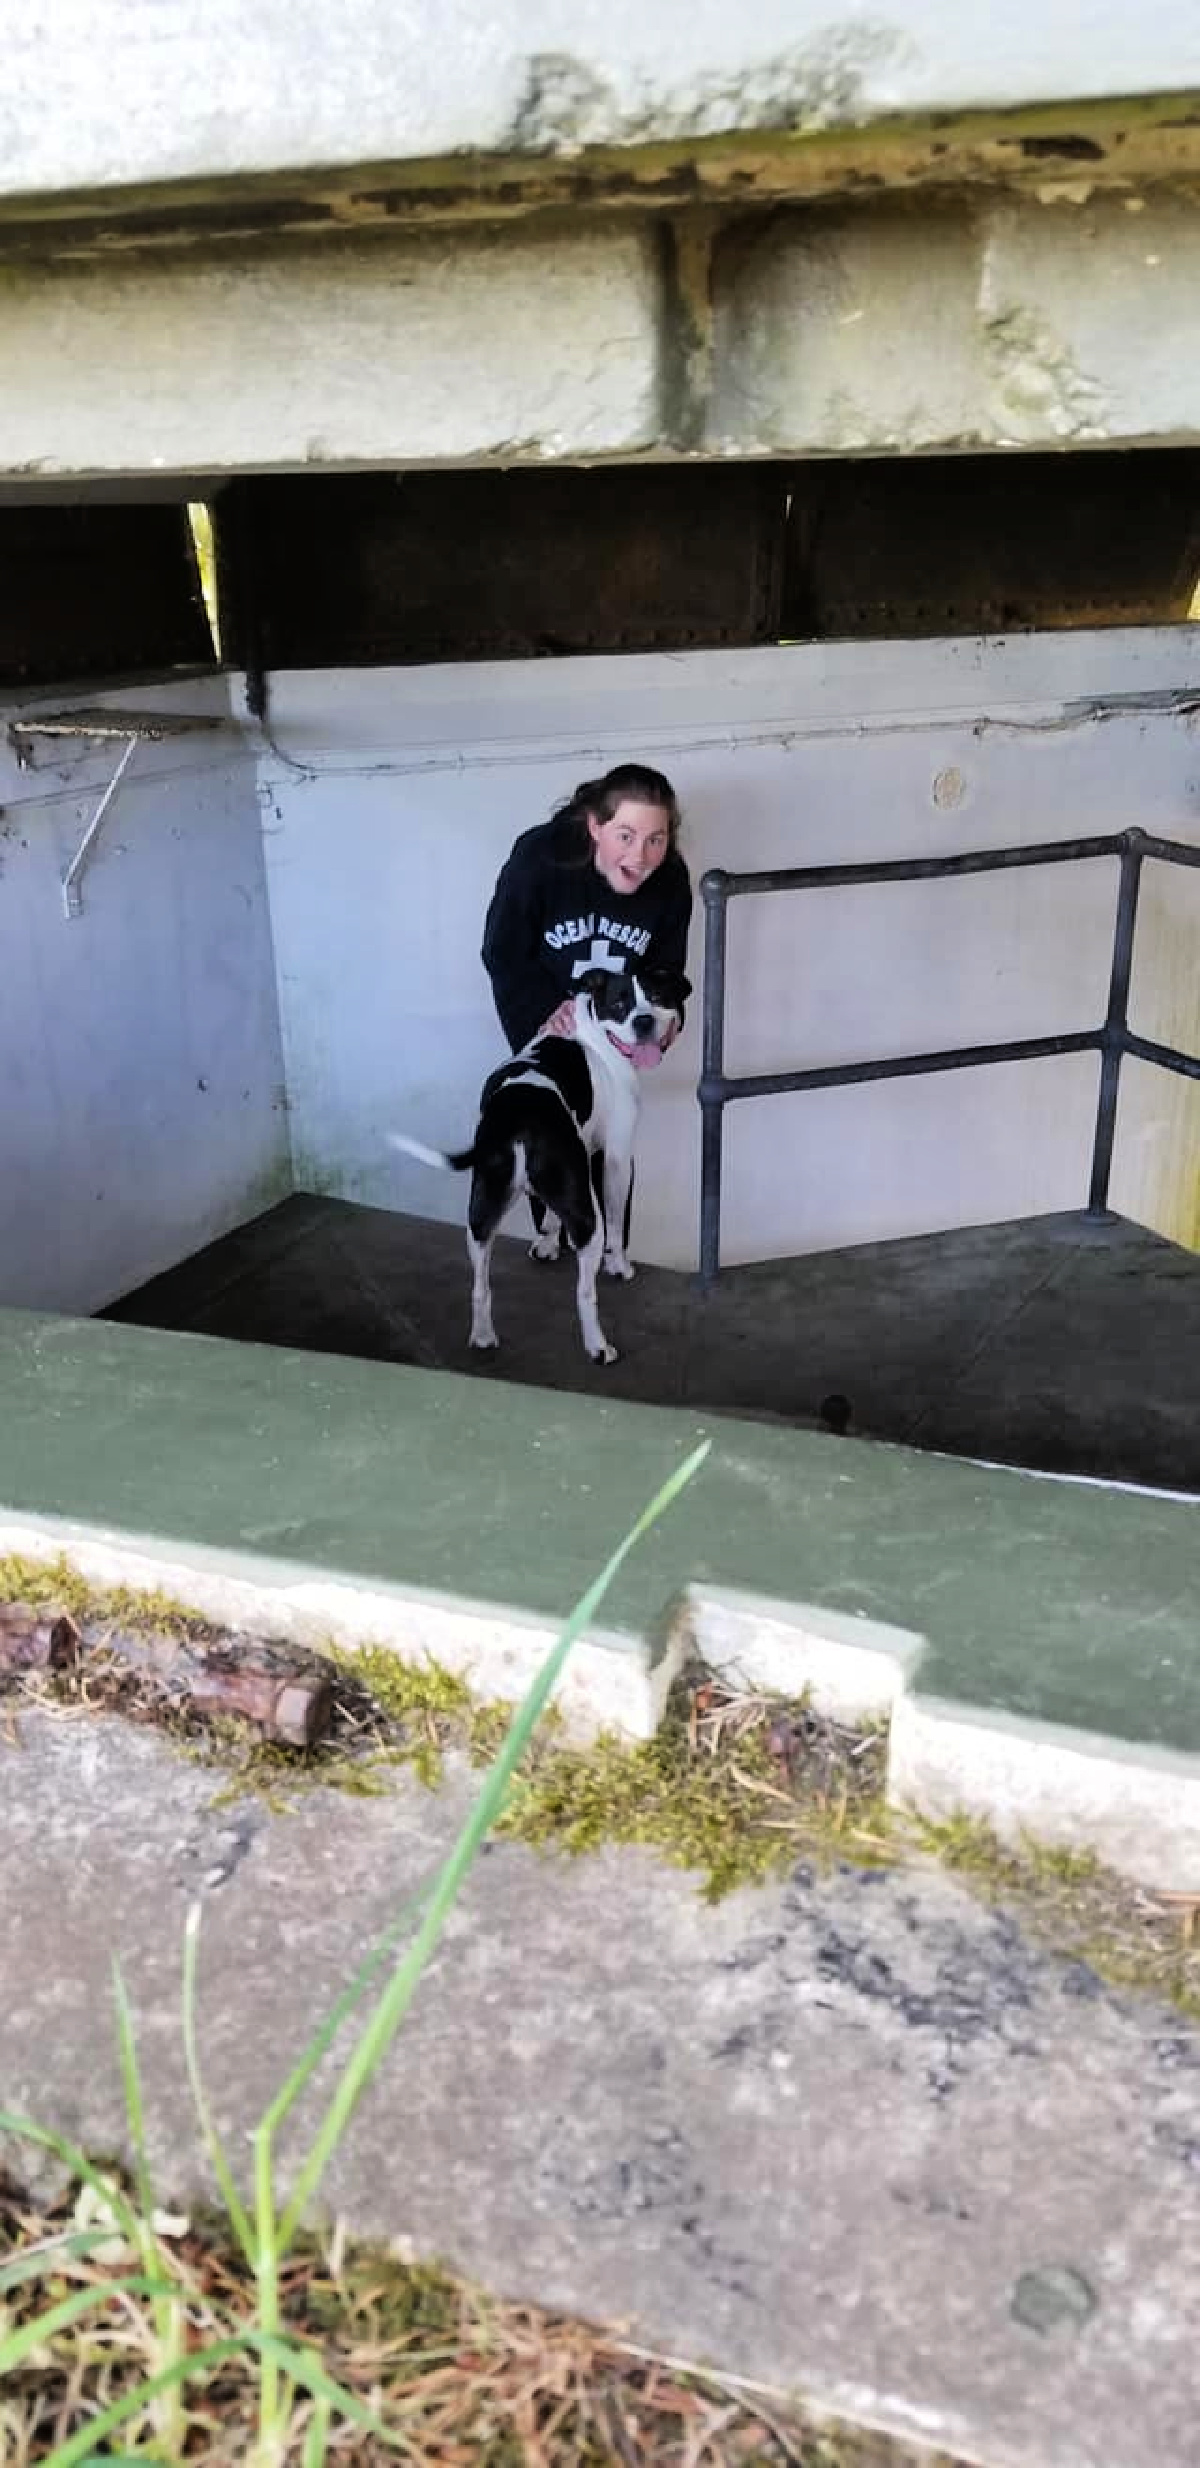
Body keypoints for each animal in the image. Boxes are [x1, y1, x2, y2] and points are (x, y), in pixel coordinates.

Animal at [392, 962, 691, 1372]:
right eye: (619, 1004)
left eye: (658, 997)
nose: (643, 1021)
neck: (592, 1031)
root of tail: (518, 1119)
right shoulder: (615, 1157)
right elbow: (617, 1224)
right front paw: (619, 1266)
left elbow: (548, 1214)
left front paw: (547, 1242)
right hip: (586, 1216)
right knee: (584, 1293)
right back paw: (598, 1346)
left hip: (482, 1213)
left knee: (480, 1286)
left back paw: (483, 1335)